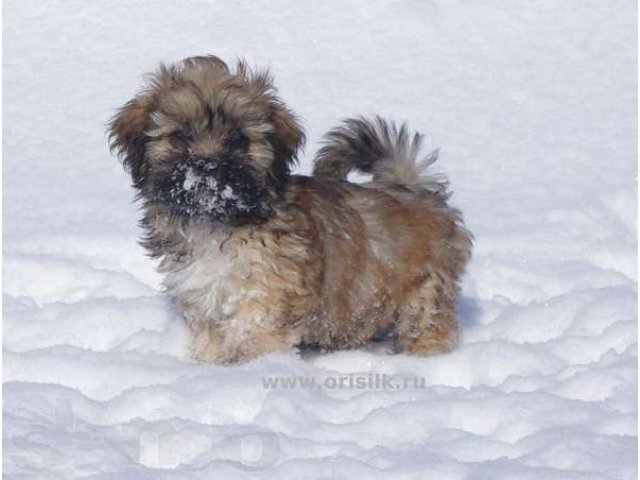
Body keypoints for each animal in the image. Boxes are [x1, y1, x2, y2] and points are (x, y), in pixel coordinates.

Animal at [107, 55, 472, 364]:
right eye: (180, 136)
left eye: (239, 140)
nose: (207, 165)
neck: (217, 220)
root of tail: (415, 189)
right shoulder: (203, 296)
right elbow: (211, 335)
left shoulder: (268, 291)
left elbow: (255, 334)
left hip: (425, 290)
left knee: (427, 322)